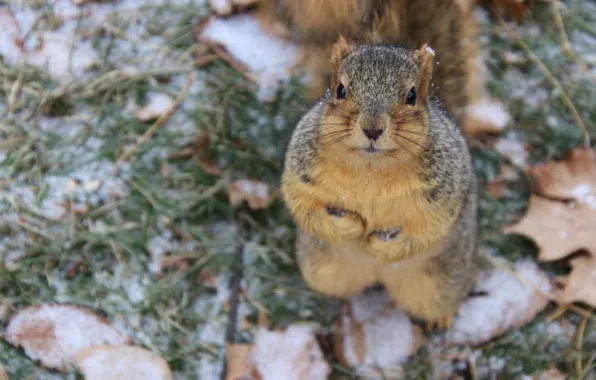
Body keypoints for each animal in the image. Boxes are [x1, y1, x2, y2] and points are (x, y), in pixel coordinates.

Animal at [280, 39, 480, 330]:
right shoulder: (300, 173)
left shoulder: (445, 192)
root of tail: (378, 276)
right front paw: (350, 227)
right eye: (340, 90)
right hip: (320, 271)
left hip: (442, 284)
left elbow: (429, 228)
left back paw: (440, 318)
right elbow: (302, 206)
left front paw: (380, 246)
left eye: (412, 95)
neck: (371, 170)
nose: (372, 129)